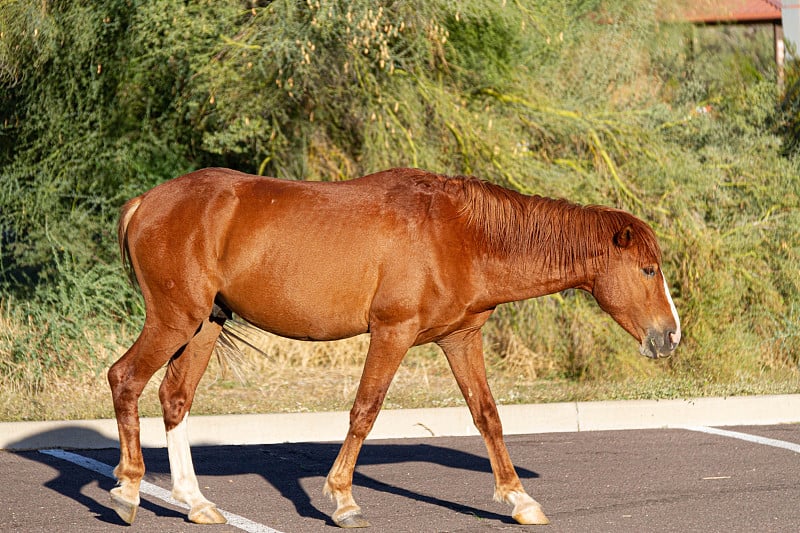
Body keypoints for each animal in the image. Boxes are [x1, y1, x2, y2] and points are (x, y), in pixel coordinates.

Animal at [108, 168, 680, 524]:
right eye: (648, 270)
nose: (670, 335)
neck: (460, 235)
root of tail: (145, 203)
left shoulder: (460, 339)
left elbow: (487, 416)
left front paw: (520, 499)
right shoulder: (392, 333)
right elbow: (365, 410)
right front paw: (342, 500)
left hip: (202, 326)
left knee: (174, 399)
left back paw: (194, 501)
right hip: (173, 321)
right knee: (125, 380)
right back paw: (129, 490)